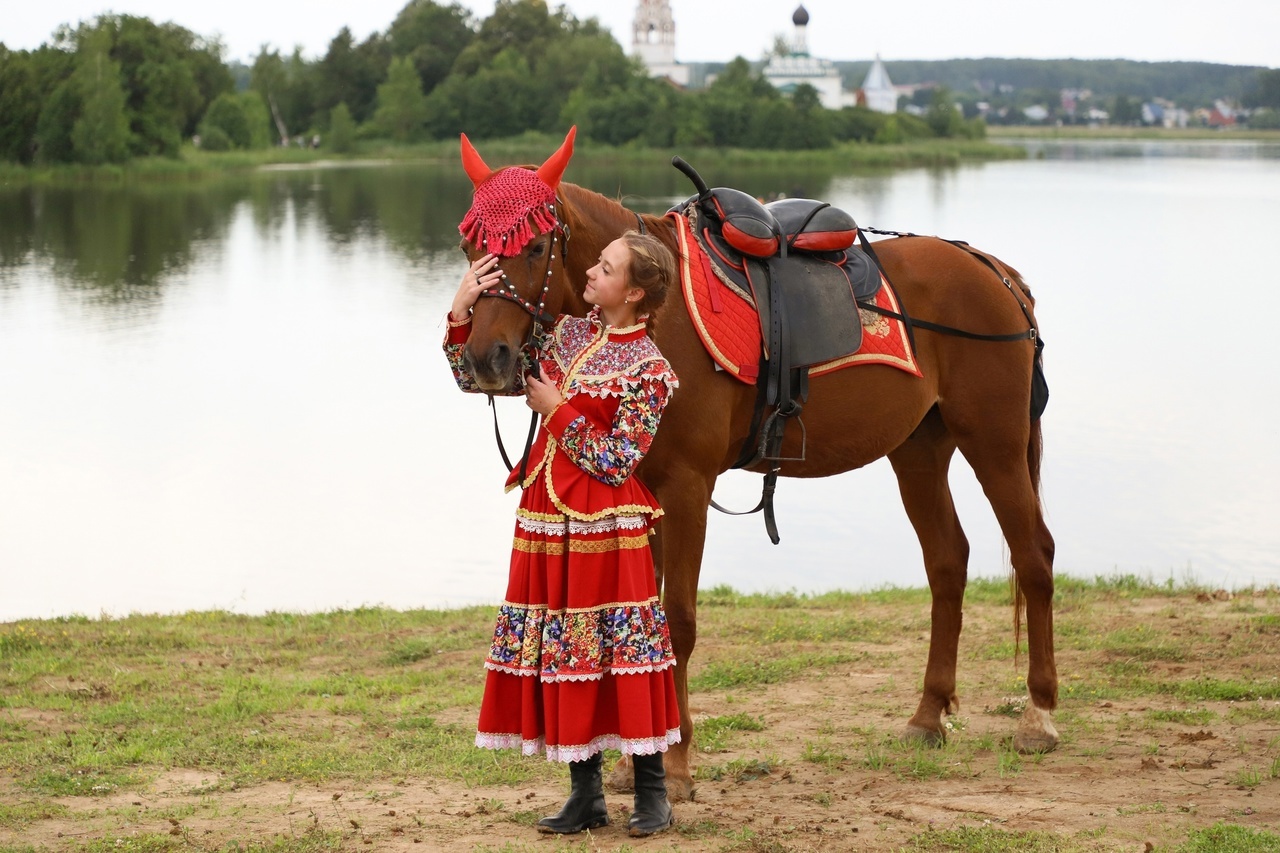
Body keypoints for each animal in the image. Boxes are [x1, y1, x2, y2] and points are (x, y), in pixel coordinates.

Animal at [455, 131, 1054, 799]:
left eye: (535, 247)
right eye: (470, 246)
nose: (484, 359)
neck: (663, 318)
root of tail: (995, 272)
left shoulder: (687, 487)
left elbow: (678, 619)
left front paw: (676, 765)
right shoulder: (645, 488)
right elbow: (648, 617)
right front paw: (640, 759)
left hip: (994, 444)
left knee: (1034, 555)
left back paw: (1038, 716)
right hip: (919, 452)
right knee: (948, 563)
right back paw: (928, 715)